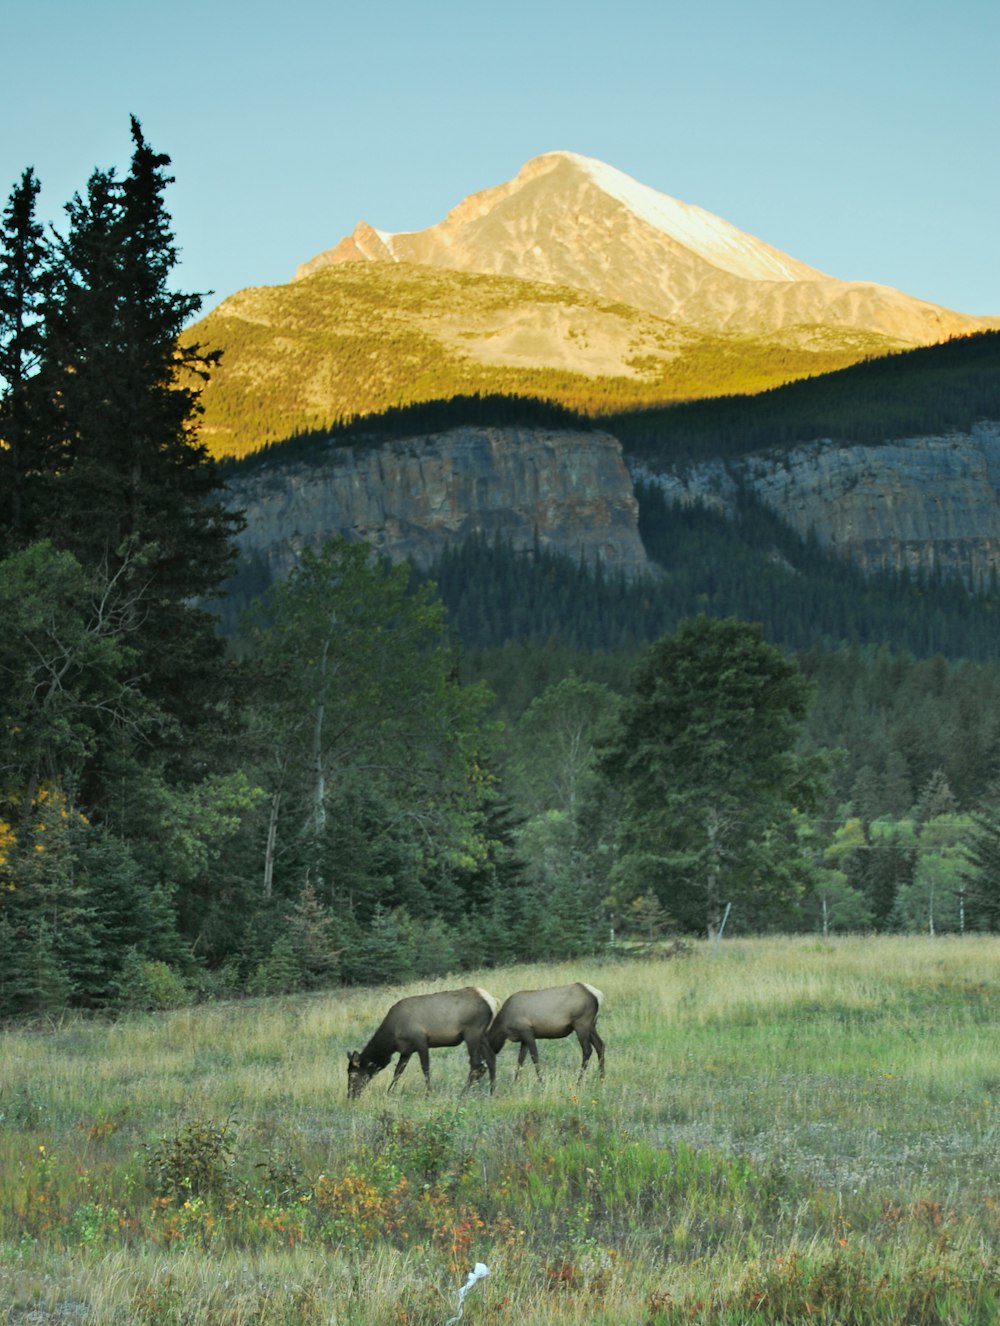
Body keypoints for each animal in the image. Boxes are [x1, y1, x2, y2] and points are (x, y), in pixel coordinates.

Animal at [347, 986, 498, 1097]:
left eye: (353, 1075)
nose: (350, 1096)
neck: (393, 1037)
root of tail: (492, 1002)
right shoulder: (406, 1050)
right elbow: (398, 1071)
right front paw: (389, 1092)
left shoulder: (421, 1040)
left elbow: (425, 1068)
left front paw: (428, 1093)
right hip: (482, 1034)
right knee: (491, 1059)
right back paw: (492, 1092)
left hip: (472, 1032)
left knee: (476, 1064)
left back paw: (463, 1093)